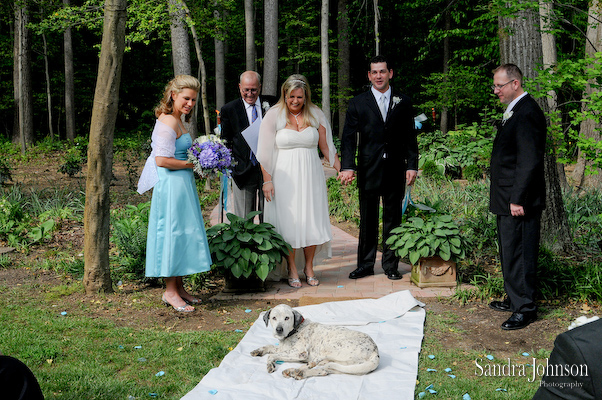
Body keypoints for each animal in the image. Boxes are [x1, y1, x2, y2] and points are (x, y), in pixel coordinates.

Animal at [247, 304, 378, 380]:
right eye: (273, 318)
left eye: (287, 318)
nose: (279, 330)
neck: (295, 329)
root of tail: (375, 351)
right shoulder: (284, 348)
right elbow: (269, 347)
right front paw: (258, 350)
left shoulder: (300, 353)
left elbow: (272, 355)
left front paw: (270, 364)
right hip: (346, 366)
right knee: (323, 369)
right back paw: (296, 372)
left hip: (328, 348)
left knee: (315, 363)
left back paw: (299, 370)